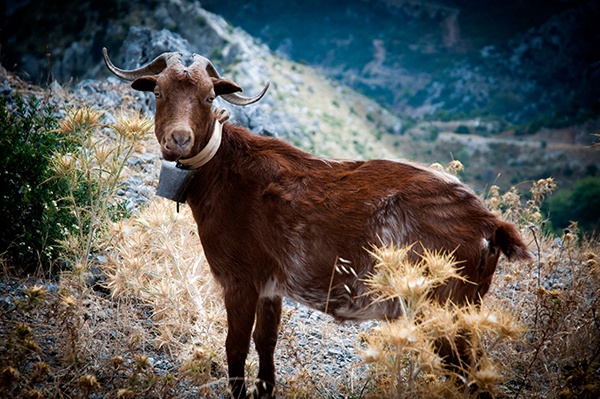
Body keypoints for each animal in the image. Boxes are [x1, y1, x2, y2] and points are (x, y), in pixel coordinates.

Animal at [104, 48, 536, 398]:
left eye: (209, 96)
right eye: (158, 92)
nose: (178, 140)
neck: (224, 172)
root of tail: (489, 224)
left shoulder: (239, 278)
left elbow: (235, 346)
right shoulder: (271, 284)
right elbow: (266, 341)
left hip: (443, 306)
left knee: (470, 376)